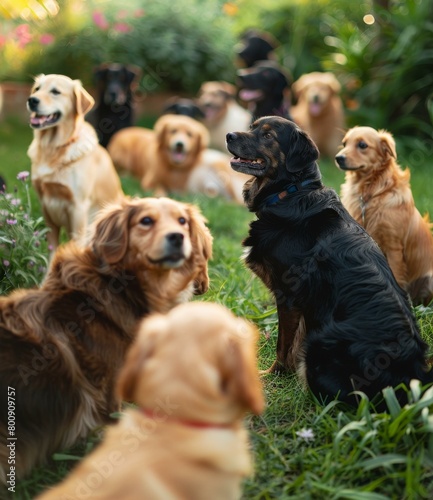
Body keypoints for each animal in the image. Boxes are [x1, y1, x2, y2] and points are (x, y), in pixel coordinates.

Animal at [0, 196, 211, 484]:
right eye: (146, 220)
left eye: (183, 221)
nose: (178, 237)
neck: (122, 289)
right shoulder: (109, 387)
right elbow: (115, 422)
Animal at [26, 73, 122, 250]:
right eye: (37, 89)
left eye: (55, 92)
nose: (32, 100)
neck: (53, 147)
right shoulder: (45, 207)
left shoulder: (78, 209)